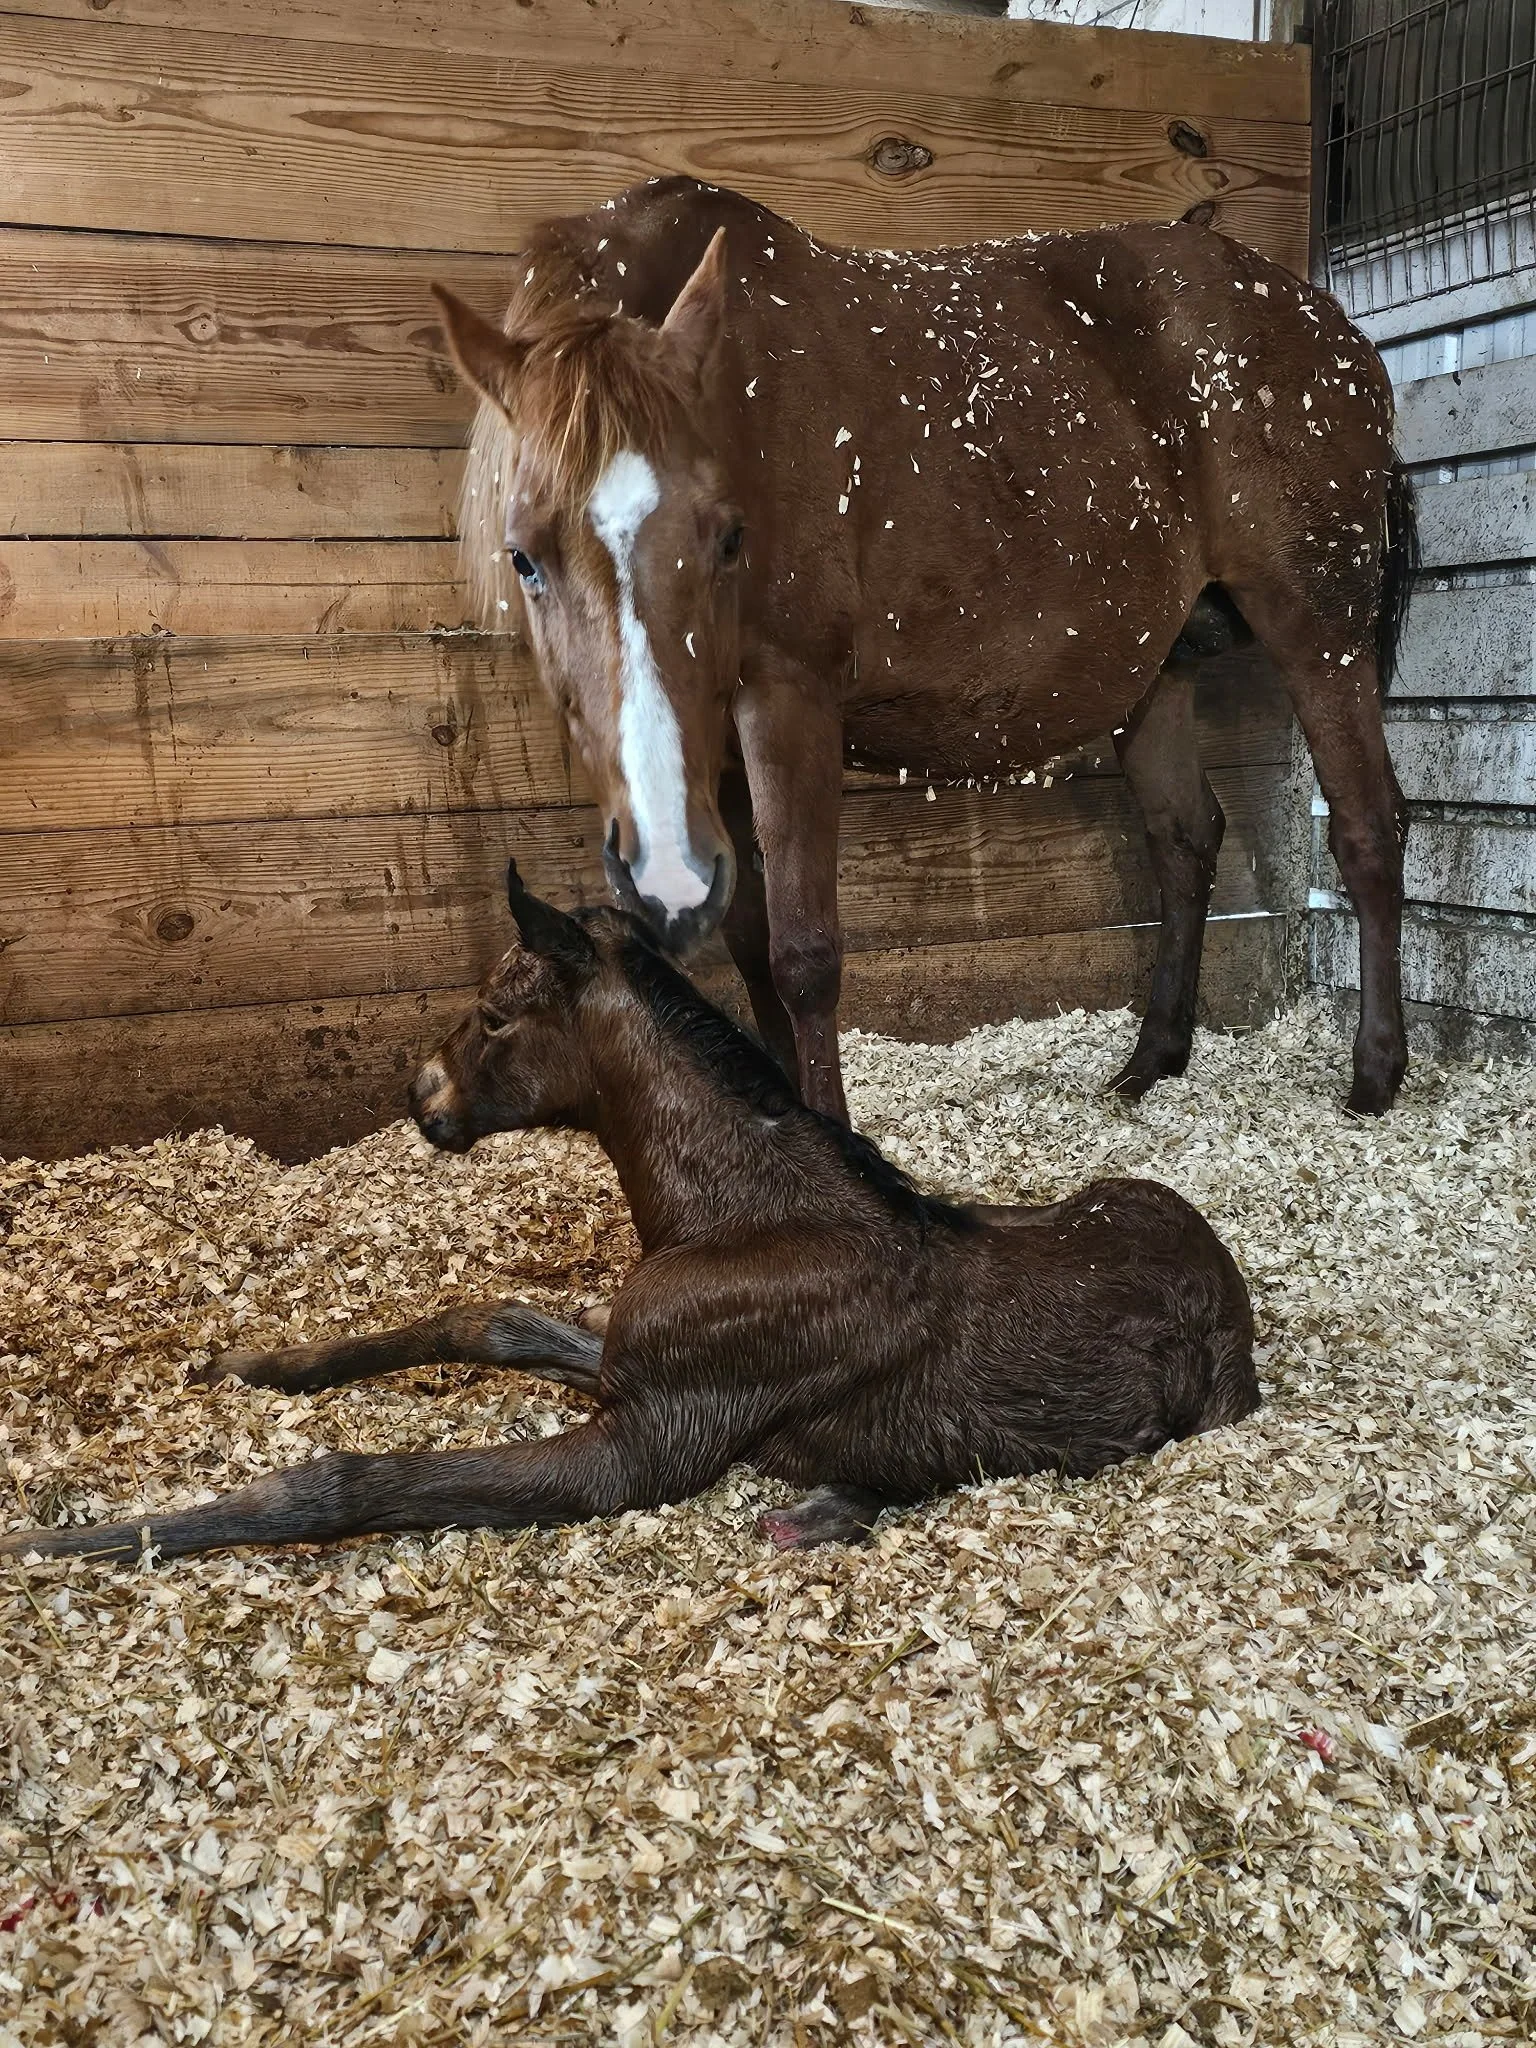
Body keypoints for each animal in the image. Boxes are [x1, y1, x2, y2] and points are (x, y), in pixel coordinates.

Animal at [0, 864, 1257, 1564]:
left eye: (497, 1014)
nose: (420, 1093)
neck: (743, 1220)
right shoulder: (630, 1361)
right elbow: (488, 1319)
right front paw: (256, 1362)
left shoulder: (647, 1441)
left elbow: (350, 1480)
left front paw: (58, 1540)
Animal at [431, 175, 1415, 1124]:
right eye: (523, 557)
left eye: (728, 537)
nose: (665, 868)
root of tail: (1338, 334)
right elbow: (749, 943)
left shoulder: (788, 699)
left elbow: (803, 953)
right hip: (1157, 668)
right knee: (1185, 838)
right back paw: (1154, 1059)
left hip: (1320, 634)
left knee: (1368, 826)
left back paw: (1376, 1073)